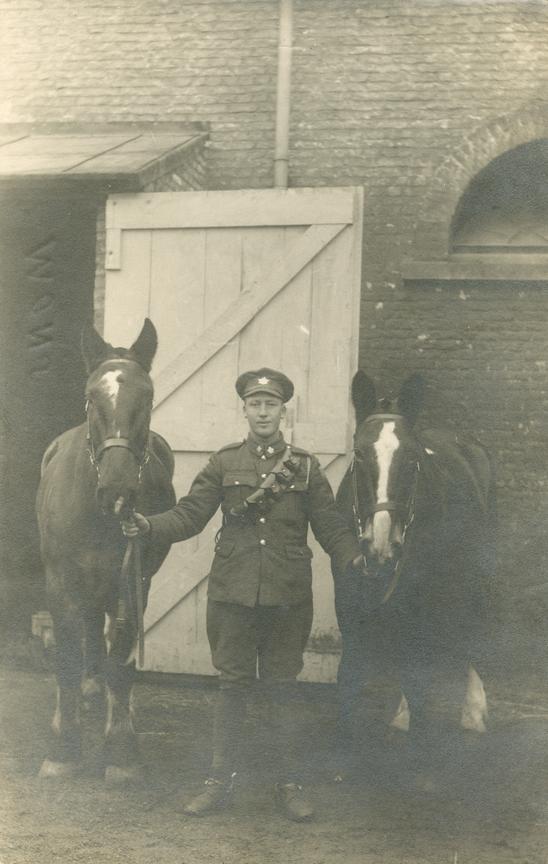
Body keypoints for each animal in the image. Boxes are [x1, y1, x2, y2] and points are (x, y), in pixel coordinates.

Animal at [35, 318, 176, 784]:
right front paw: (63, 748)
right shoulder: (60, 583)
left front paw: (121, 751)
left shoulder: (134, 581)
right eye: (91, 396)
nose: (117, 491)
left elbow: (122, 660)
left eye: (147, 395)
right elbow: (66, 657)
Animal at [334, 374, 496, 780]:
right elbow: (350, 671)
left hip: (474, 574)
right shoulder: (349, 597)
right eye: (359, 454)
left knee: (470, 627)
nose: (381, 545)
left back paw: (473, 711)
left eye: (413, 458)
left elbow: (417, 669)